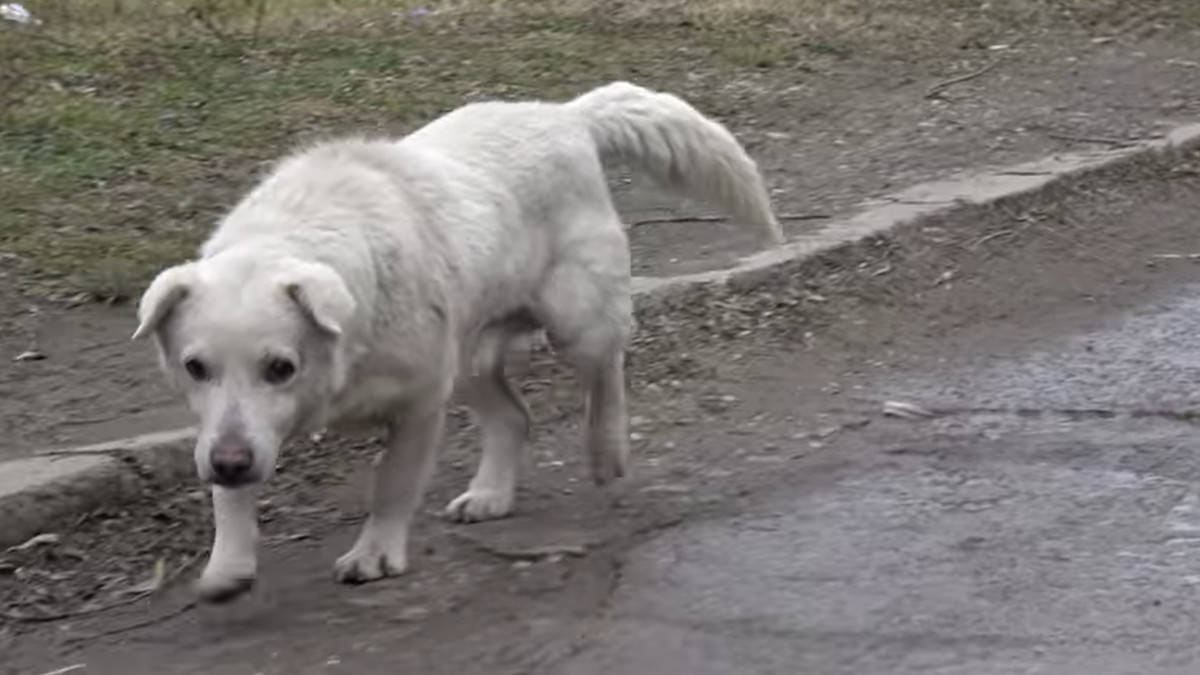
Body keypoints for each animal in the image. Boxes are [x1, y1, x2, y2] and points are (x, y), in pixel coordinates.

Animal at [133, 79, 787, 598]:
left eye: (281, 367)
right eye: (195, 367)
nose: (230, 464)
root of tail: (566, 115)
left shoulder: (419, 404)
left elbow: (391, 486)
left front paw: (375, 552)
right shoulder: (223, 426)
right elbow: (228, 493)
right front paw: (229, 563)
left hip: (574, 321)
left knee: (607, 373)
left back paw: (606, 451)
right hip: (470, 356)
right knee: (514, 417)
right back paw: (492, 492)